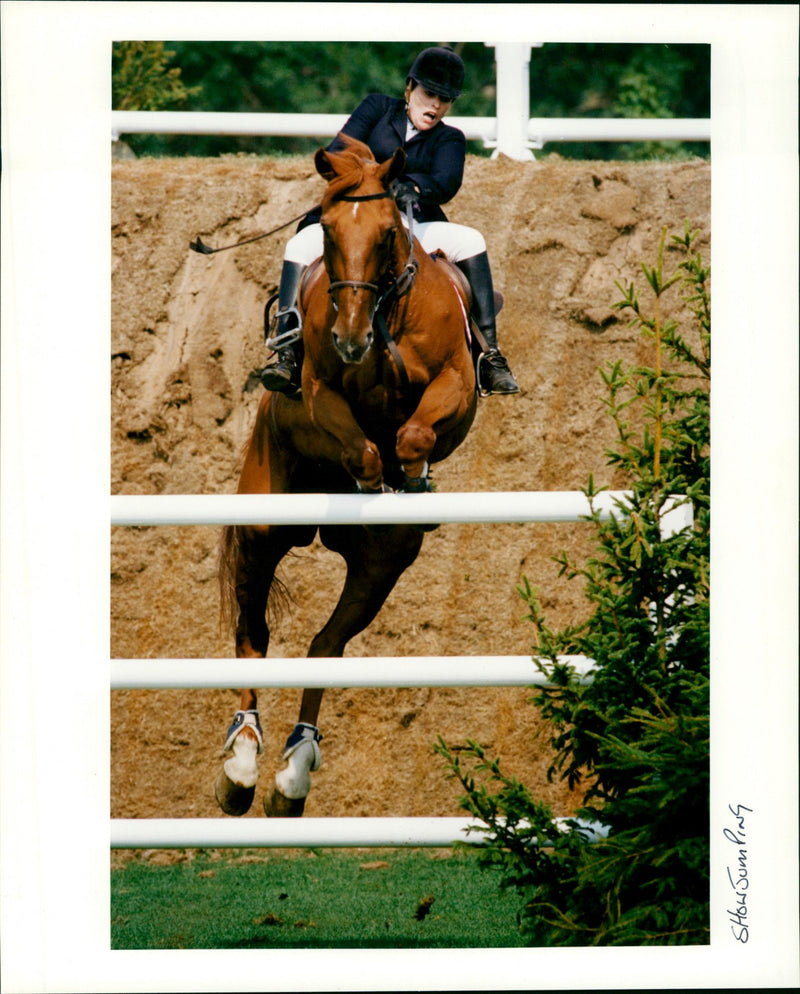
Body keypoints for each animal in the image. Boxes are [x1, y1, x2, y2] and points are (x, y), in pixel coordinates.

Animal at [216, 136, 478, 816]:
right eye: (330, 231)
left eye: (388, 232)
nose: (352, 336)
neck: (387, 312)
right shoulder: (322, 389)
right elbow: (359, 445)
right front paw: (370, 480)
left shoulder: (457, 384)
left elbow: (412, 434)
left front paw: (410, 479)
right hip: (262, 531)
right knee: (253, 636)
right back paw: (243, 762)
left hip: (377, 569)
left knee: (324, 646)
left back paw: (294, 770)